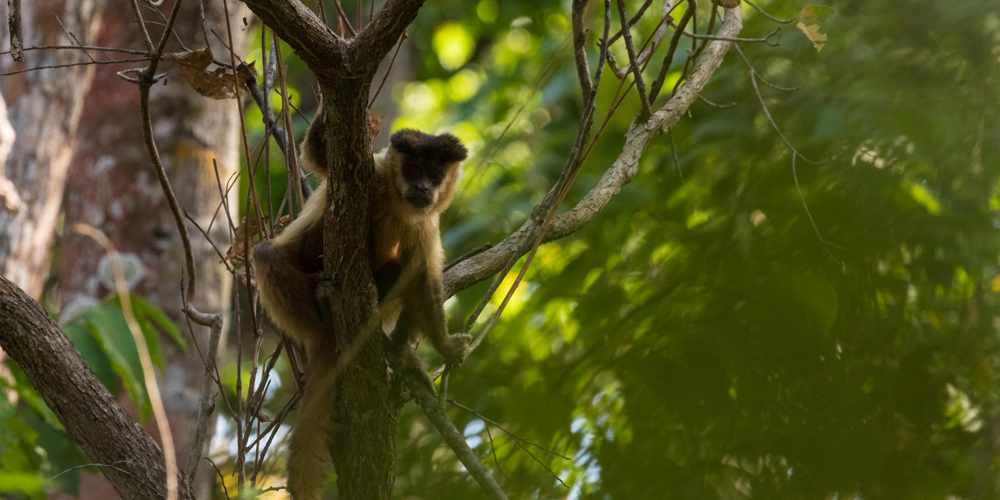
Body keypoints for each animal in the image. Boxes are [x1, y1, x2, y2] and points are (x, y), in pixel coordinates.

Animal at [251, 109, 470, 500]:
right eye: (413, 169)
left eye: (434, 174)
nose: (423, 188)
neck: (396, 202)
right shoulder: (376, 172)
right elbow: (317, 159)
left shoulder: (426, 222)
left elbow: (424, 279)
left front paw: (439, 347)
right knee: (266, 253)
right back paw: (321, 299)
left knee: (403, 271)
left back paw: (395, 351)